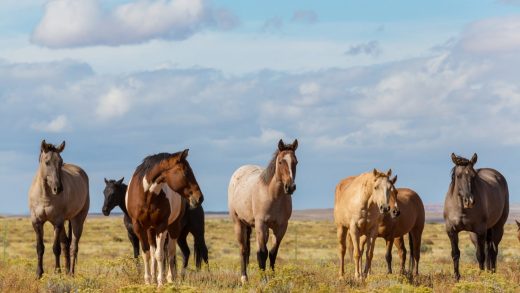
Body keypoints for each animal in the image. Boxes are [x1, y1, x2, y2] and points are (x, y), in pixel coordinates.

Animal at [27, 140, 89, 278]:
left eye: (60, 162)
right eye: (47, 162)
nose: (58, 188)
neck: (45, 195)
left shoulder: (57, 222)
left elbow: (56, 248)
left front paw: (57, 272)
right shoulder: (37, 222)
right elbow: (40, 247)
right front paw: (39, 273)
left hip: (77, 220)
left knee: (73, 246)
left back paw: (71, 273)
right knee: (66, 244)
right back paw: (67, 271)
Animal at [126, 149, 203, 284]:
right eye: (185, 172)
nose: (200, 197)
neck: (147, 196)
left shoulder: (161, 226)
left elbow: (160, 254)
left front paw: (161, 282)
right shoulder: (139, 227)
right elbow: (147, 254)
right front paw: (148, 281)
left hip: (173, 227)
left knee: (170, 252)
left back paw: (170, 279)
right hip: (150, 230)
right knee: (154, 252)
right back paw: (154, 277)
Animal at [229, 138, 298, 282]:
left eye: (296, 162)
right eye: (280, 161)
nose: (290, 187)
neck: (273, 195)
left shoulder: (281, 227)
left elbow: (272, 253)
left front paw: (272, 278)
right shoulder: (261, 224)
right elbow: (262, 253)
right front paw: (263, 280)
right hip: (238, 223)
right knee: (243, 249)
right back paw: (244, 278)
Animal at [442, 152, 508, 280]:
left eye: (473, 176)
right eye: (458, 176)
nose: (470, 201)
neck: (462, 209)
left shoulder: (480, 231)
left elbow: (481, 255)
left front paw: (481, 276)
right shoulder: (451, 231)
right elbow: (455, 253)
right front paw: (456, 277)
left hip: (497, 228)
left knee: (493, 252)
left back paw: (492, 273)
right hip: (476, 234)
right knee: (489, 250)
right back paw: (489, 272)